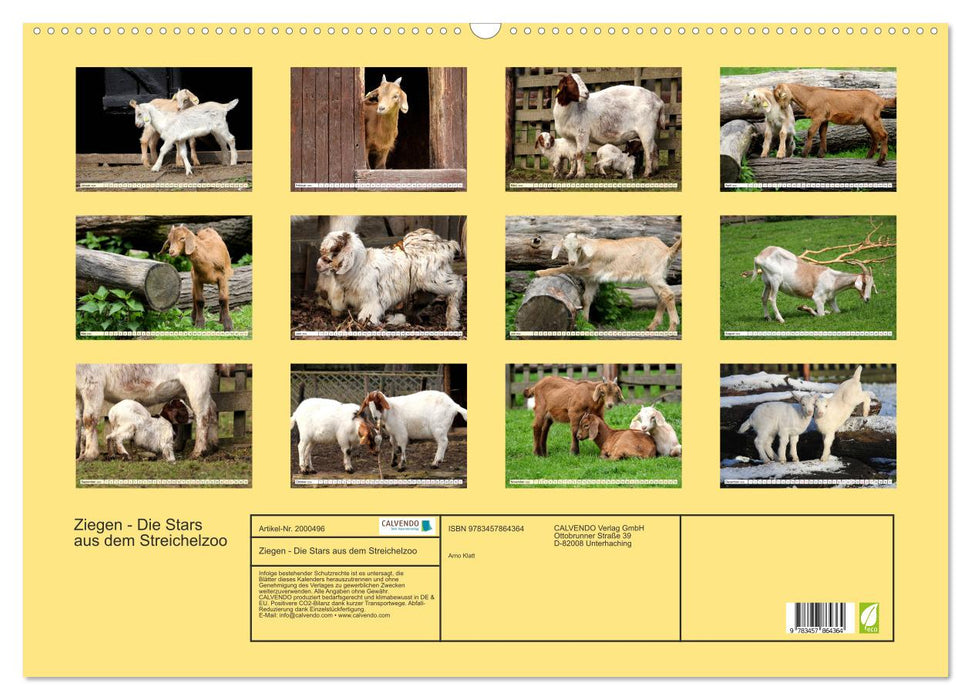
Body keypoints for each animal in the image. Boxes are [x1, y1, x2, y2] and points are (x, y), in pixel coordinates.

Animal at [76, 364, 223, 461]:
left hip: (197, 383)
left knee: (203, 415)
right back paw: (213, 445)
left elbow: (88, 419)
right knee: (213, 408)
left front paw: (89, 454)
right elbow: (78, 422)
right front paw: (79, 454)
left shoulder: (92, 383)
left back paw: (198, 451)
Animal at [316, 227, 463, 329]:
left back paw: (452, 322)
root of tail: (447, 245)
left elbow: (366, 316)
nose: (318, 266)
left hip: (433, 279)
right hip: (426, 286)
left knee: (457, 284)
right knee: (424, 300)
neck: (361, 265)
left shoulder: (373, 300)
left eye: (335, 252)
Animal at [538, 232, 681, 332]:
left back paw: (672, 328)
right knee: (661, 297)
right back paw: (652, 326)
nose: (572, 261)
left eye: (578, 248)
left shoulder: (591, 269)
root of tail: (667, 250)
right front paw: (585, 321)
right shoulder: (592, 279)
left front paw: (540, 272)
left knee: (668, 295)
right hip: (658, 276)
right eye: (565, 249)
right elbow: (587, 299)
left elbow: (566, 268)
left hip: (653, 275)